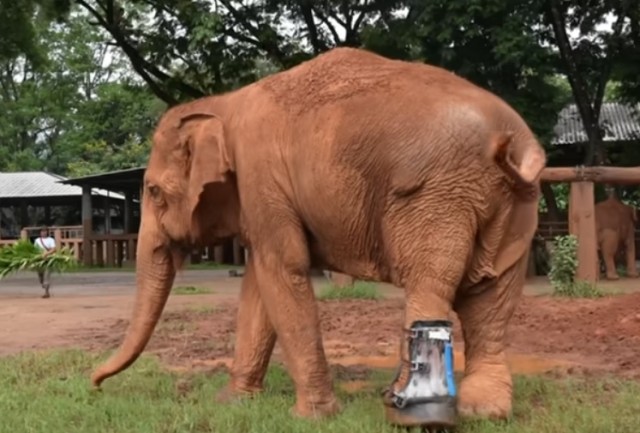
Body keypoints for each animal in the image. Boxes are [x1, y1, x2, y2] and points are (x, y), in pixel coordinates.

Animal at [90, 46, 548, 426]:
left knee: (429, 286)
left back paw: (407, 408)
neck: (222, 103)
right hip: (516, 206)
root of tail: (509, 139)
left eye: (153, 192)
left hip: (437, 195)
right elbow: (260, 283)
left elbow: (283, 269)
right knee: (490, 293)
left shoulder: (261, 176)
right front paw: (233, 402)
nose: (94, 383)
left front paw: (311, 417)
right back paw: (484, 410)